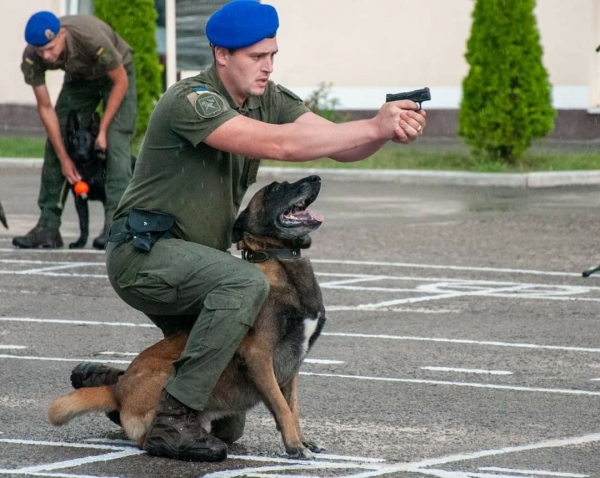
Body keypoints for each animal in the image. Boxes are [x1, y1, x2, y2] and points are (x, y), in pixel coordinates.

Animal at [47, 175, 328, 460]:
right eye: (276, 188)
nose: (316, 178)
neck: (278, 260)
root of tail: (118, 389)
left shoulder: (292, 365)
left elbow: (293, 407)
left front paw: (303, 441)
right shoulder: (259, 356)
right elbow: (282, 408)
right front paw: (295, 447)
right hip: (168, 374)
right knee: (147, 437)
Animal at [64, 109, 106, 248]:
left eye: (87, 140)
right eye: (75, 141)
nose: (81, 154)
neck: (86, 168)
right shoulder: (79, 201)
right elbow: (83, 224)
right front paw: (80, 243)